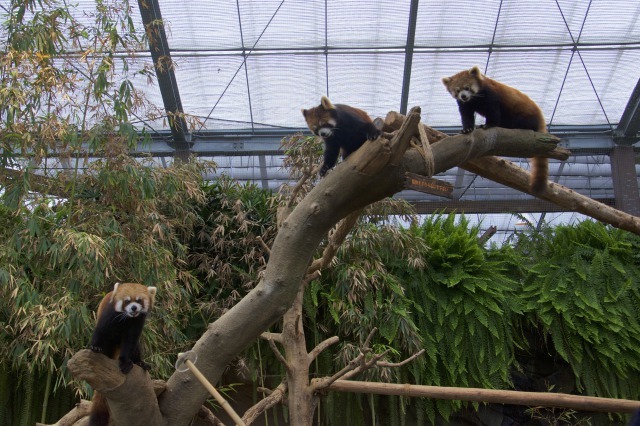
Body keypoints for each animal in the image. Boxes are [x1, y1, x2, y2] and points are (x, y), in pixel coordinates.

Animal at [87, 282, 156, 426]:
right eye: (127, 301)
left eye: (139, 300)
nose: (134, 307)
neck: (127, 318)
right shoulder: (108, 315)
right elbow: (100, 331)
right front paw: (94, 346)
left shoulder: (136, 324)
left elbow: (130, 341)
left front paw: (125, 362)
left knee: (136, 347)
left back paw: (140, 362)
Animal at [440, 66, 552, 195]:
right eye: (457, 91)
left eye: (467, 88)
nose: (463, 96)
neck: (474, 99)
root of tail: (540, 115)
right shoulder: (465, 104)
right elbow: (466, 115)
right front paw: (467, 129)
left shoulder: (491, 94)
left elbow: (493, 109)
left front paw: (489, 124)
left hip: (524, 113)